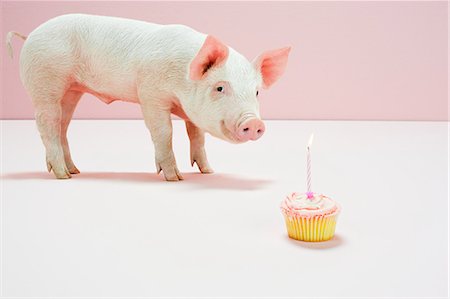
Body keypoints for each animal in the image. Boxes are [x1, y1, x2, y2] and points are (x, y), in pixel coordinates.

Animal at [7, 14, 292, 182]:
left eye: (256, 91)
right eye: (220, 88)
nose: (254, 122)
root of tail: (30, 35)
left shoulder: (191, 112)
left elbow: (197, 135)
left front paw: (208, 171)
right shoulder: (150, 95)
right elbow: (164, 132)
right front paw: (175, 177)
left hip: (71, 91)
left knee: (62, 126)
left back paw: (74, 171)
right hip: (45, 84)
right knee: (47, 125)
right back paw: (63, 176)